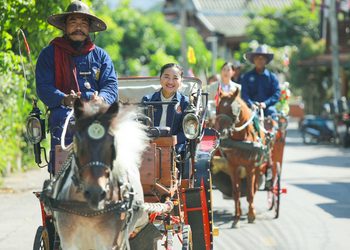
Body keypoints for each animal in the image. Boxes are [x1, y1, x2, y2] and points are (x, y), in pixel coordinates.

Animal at [49, 100, 149, 250]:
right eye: (77, 141)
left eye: (112, 143)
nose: (95, 193)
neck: (87, 210)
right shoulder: (68, 243)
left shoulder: (109, 245)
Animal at [213, 89, 276, 228]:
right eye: (218, 109)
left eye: (233, 111)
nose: (222, 132)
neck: (240, 140)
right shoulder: (232, 166)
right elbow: (236, 193)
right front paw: (236, 218)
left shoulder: (250, 167)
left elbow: (250, 193)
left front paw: (251, 215)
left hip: (258, 166)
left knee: (254, 187)